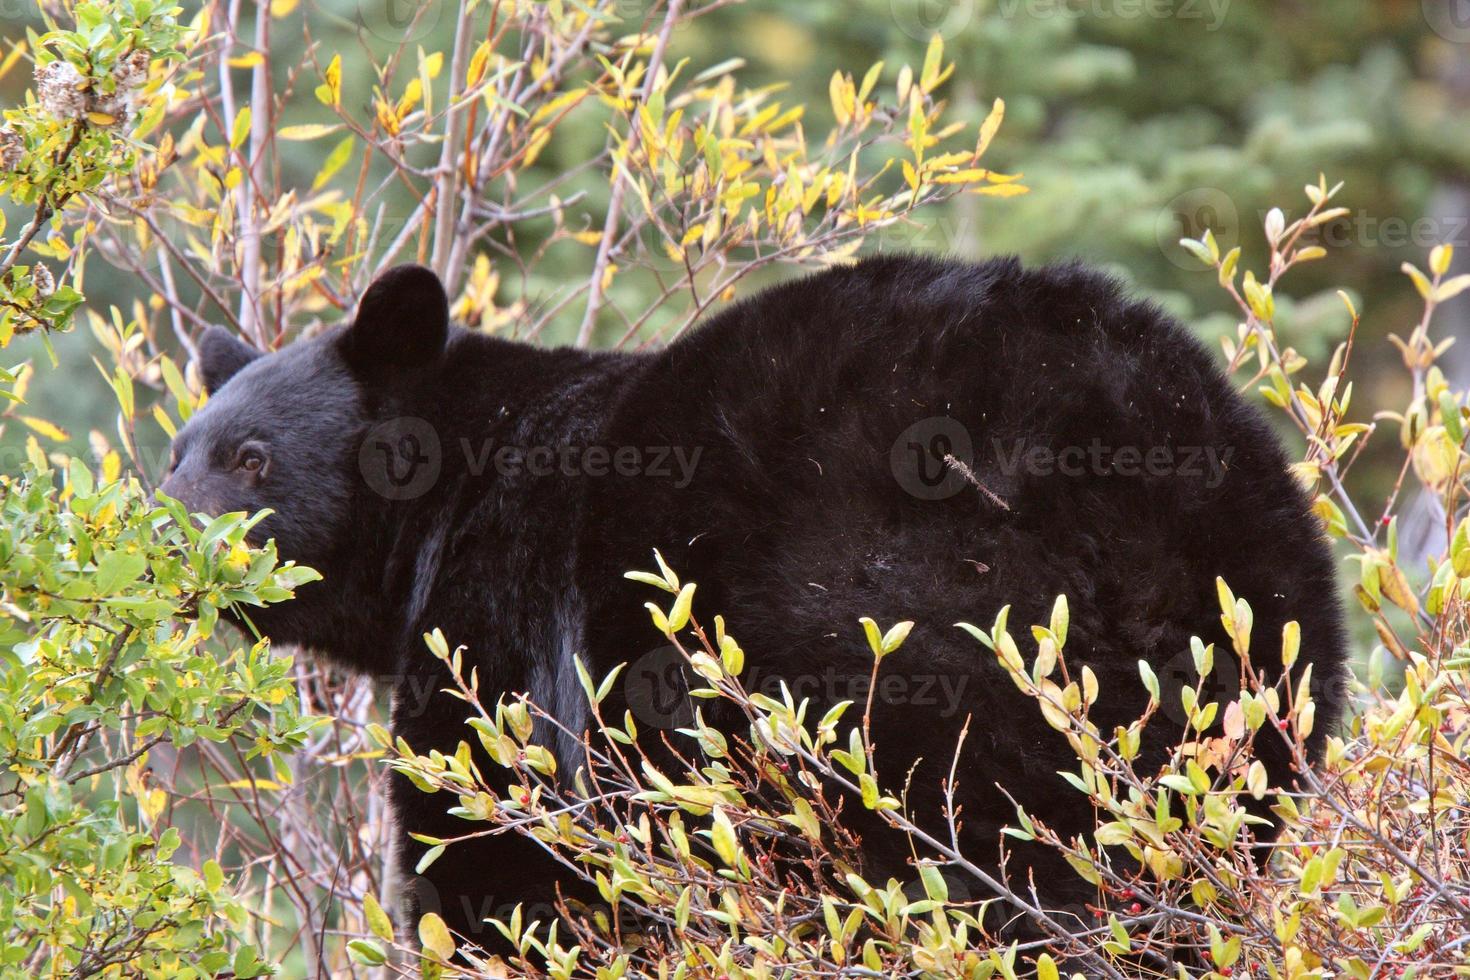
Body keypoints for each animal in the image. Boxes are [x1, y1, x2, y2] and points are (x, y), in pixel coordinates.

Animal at [158, 252, 1346, 952]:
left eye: (251, 458)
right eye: (175, 450)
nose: (157, 541)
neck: (461, 476)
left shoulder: (500, 620)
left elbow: (496, 846)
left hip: (887, 635)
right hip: (1259, 655)